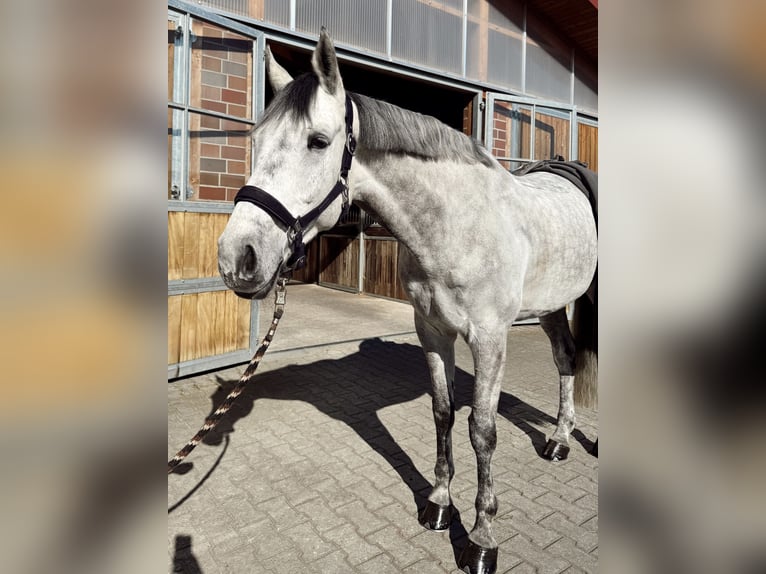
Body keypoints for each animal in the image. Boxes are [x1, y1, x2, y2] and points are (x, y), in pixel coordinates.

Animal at [217, 29, 597, 574]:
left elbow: (483, 430)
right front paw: (438, 504)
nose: (237, 257)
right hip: (549, 306)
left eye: (318, 141)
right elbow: (443, 412)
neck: (456, 224)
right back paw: (559, 441)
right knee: (566, 359)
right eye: (255, 141)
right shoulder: (431, 330)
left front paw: (482, 538)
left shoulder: (490, 339)